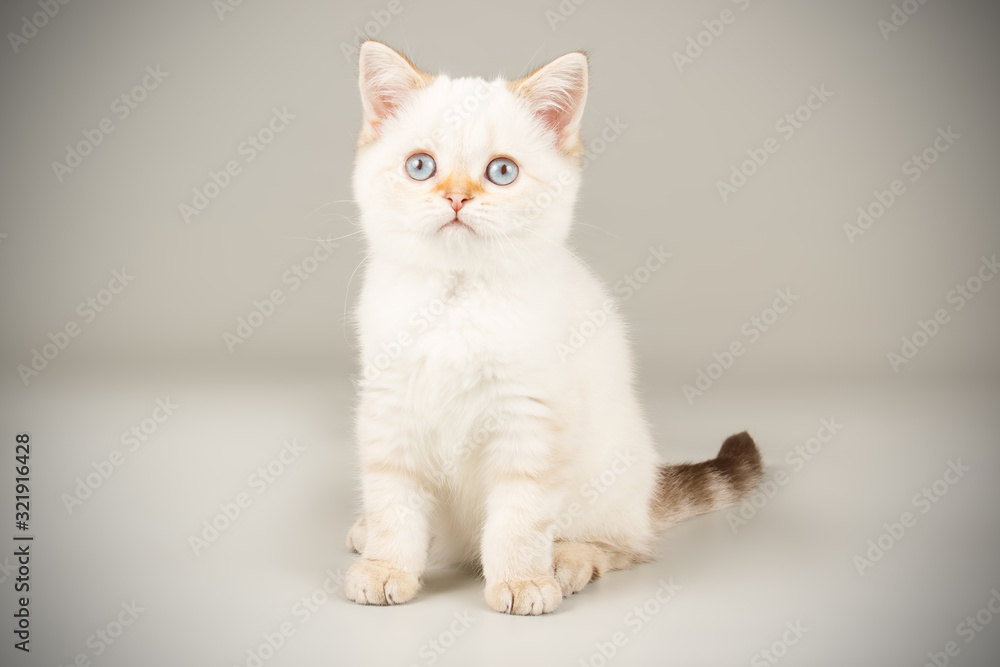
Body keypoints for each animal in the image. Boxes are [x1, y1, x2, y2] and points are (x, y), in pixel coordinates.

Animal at [346, 41, 764, 616]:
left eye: (501, 172)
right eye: (420, 166)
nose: (456, 198)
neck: (458, 299)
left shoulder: (532, 421)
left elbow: (519, 518)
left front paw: (522, 581)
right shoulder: (390, 410)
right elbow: (394, 505)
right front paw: (386, 567)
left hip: (608, 475)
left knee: (620, 544)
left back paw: (567, 563)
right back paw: (371, 535)